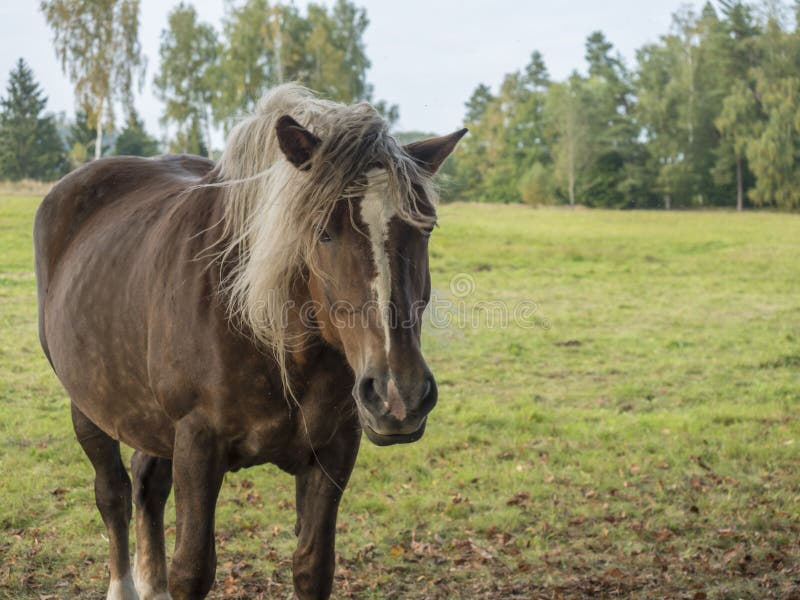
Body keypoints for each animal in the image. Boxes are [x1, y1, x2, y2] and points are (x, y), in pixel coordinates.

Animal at [34, 85, 466, 600]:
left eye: (426, 228)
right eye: (322, 232)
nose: (398, 396)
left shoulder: (336, 448)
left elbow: (313, 565)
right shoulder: (197, 444)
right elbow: (192, 568)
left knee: (146, 486)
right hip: (90, 404)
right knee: (114, 492)